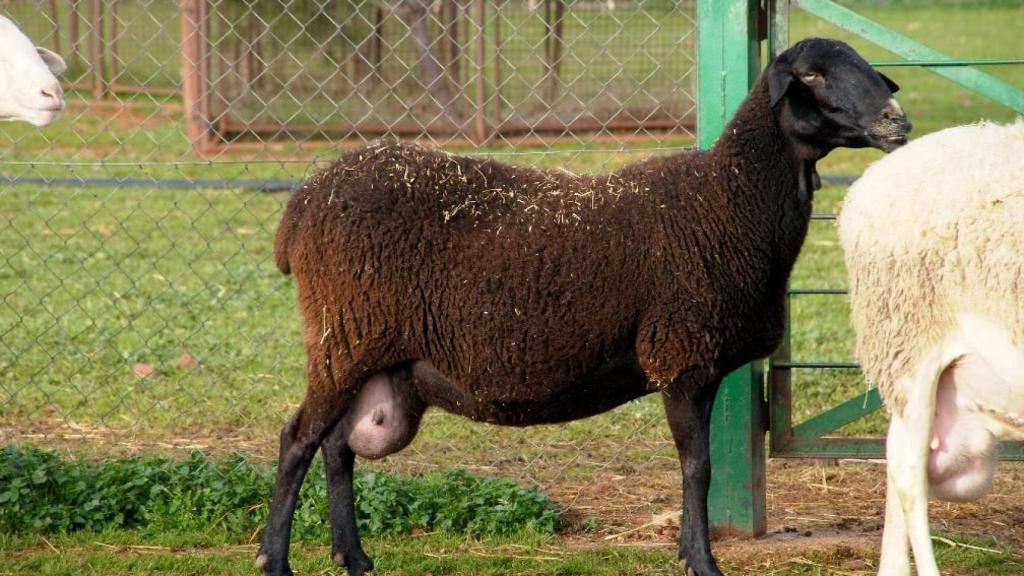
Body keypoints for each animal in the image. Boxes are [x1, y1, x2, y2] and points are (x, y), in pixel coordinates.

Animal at [260, 38, 910, 576]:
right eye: (811, 74)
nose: (896, 121)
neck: (726, 198)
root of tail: (303, 204)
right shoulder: (681, 355)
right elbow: (697, 468)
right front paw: (701, 562)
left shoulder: (694, 361)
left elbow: (693, 468)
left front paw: (689, 553)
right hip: (344, 335)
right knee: (298, 439)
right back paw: (275, 559)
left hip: (369, 354)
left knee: (339, 446)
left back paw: (354, 557)